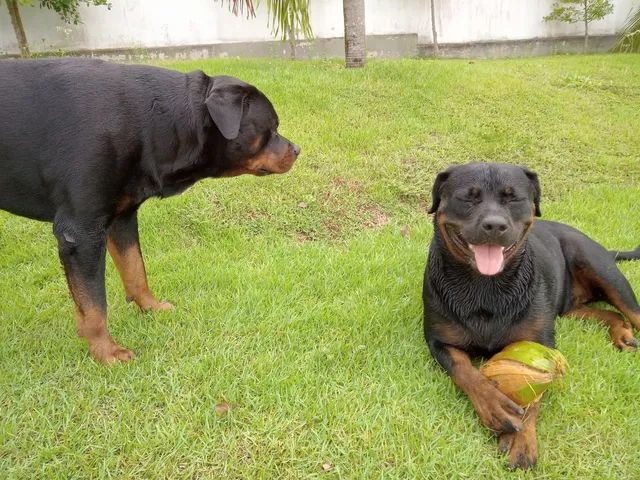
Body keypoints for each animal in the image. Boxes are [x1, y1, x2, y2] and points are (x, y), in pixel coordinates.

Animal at [0, 57, 300, 364]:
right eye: (272, 128)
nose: (297, 149)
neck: (156, 121)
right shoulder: (81, 231)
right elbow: (94, 305)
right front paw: (106, 351)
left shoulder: (122, 217)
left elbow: (135, 269)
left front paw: (150, 307)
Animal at [424, 163, 640, 470]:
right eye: (468, 197)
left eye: (513, 198)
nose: (494, 225)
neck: (485, 287)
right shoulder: (440, 341)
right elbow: (465, 371)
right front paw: (496, 408)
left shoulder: (540, 342)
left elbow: (535, 392)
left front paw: (522, 441)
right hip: (571, 307)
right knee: (607, 313)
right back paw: (621, 334)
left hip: (600, 267)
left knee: (631, 310)